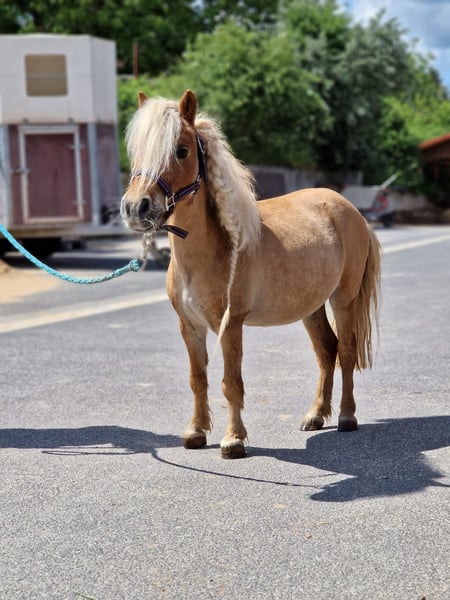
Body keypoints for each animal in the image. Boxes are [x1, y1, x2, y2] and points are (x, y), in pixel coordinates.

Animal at [121, 89, 381, 459]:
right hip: (312, 306)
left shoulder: (231, 324)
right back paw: (315, 416)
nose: (135, 208)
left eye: (181, 150)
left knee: (345, 350)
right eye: (137, 149)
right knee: (326, 351)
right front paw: (196, 432)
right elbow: (198, 379)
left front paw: (233, 440)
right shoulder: (190, 325)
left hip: (343, 300)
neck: (216, 248)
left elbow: (231, 382)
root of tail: (351, 210)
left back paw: (346, 417)